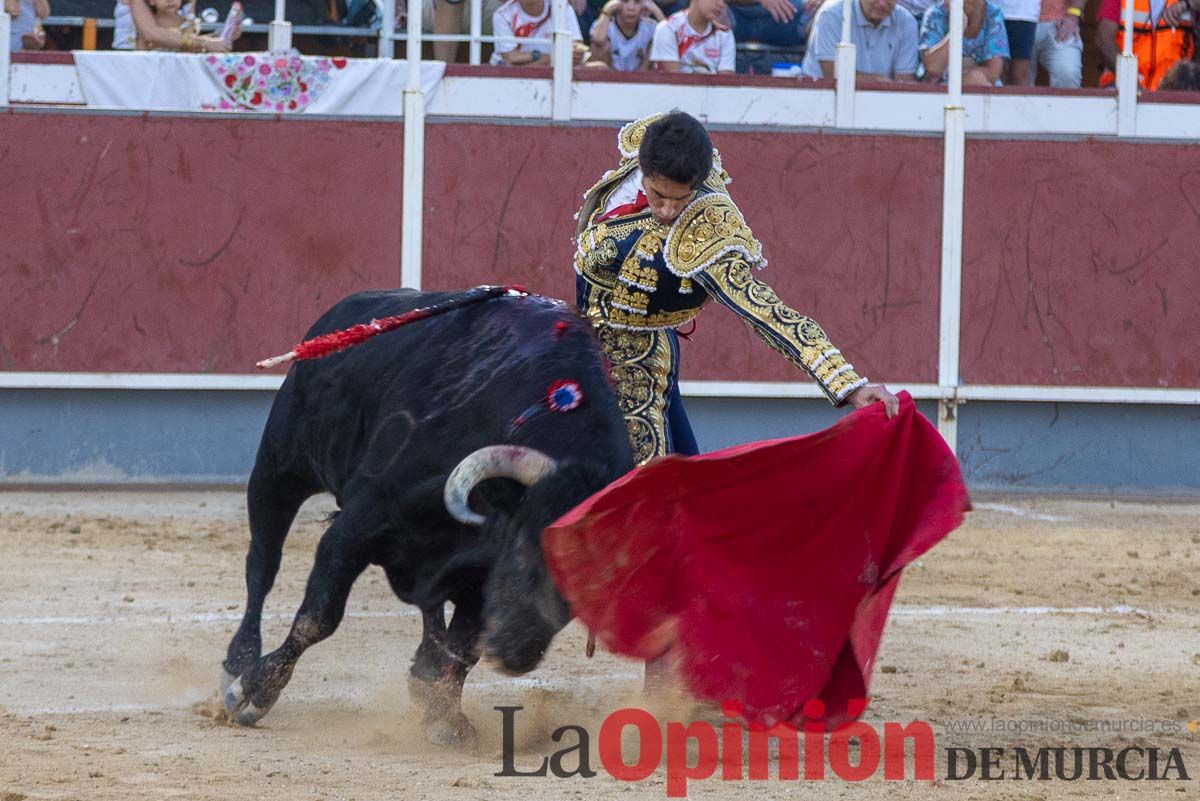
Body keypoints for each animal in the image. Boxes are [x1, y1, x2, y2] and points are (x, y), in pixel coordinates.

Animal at [225, 287, 638, 743]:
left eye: (593, 584)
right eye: (524, 553)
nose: (517, 655)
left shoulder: (478, 576)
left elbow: (462, 646)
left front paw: (445, 716)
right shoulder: (355, 528)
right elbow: (318, 617)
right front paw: (255, 692)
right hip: (279, 469)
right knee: (263, 562)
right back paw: (239, 658)